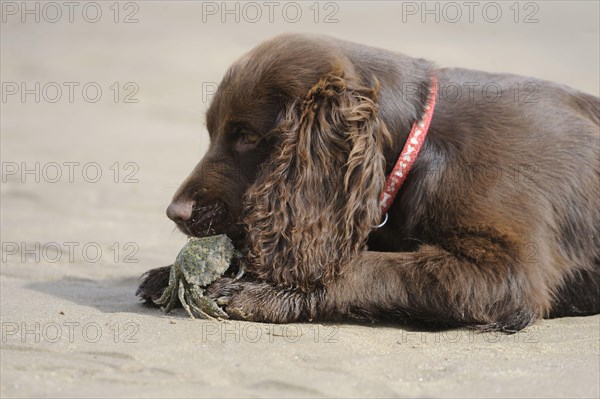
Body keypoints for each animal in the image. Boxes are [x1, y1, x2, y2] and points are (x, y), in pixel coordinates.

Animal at [137, 32, 600, 332]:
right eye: (213, 132)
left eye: (247, 136)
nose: (174, 213)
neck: (421, 143)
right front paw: (168, 272)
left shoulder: (508, 270)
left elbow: (372, 267)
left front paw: (264, 293)